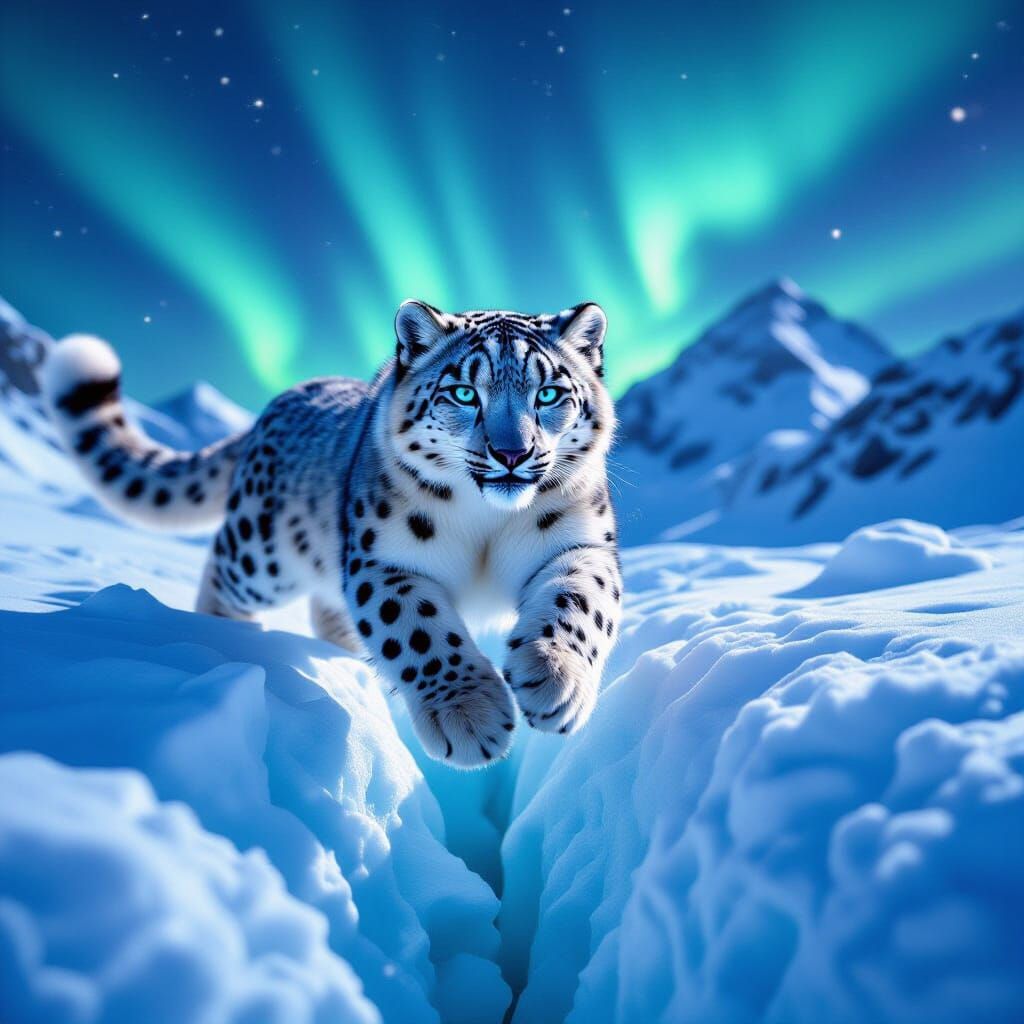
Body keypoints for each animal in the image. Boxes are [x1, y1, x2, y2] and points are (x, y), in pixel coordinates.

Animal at [41, 300, 622, 768]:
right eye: (462, 392)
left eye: (548, 393)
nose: (511, 453)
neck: (487, 525)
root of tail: (281, 400)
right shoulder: (383, 560)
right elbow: (418, 629)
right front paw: (469, 713)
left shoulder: (581, 542)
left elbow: (579, 598)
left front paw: (555, 678)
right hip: (263, 555)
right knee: (223, 576)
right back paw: (226, 642)